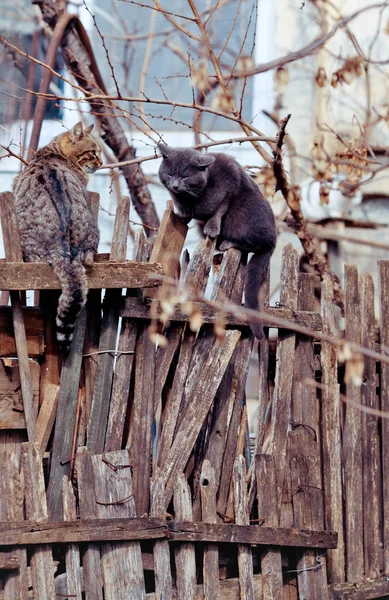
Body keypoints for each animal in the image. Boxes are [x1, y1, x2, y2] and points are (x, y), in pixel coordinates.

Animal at [157, 141, 276, 338]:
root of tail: (274, 239)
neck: (191, 198)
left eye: (185, 176)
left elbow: (219, 209)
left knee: (257, 242)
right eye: (169, 173)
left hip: (246, 213)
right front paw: (182, 217)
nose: (175, 185)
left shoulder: (231, 185)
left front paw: (211, 227)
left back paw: (227, 242)